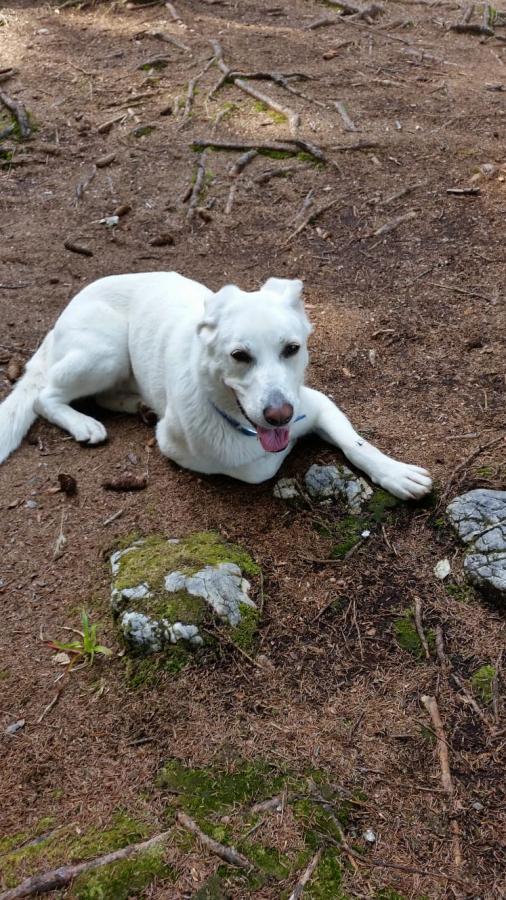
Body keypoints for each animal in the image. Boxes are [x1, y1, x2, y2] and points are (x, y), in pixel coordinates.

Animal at [0, 274, 430, 500]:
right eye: (239, 355)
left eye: (291, 349)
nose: (281, 416)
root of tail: (63, 314)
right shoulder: (180, 447)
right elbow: (262, 466)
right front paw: (291, 444)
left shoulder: (319, 403)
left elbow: (357, 443)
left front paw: (394, 472)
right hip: (104, 354)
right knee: (44, 397)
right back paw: (83, 424)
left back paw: (138, 405)